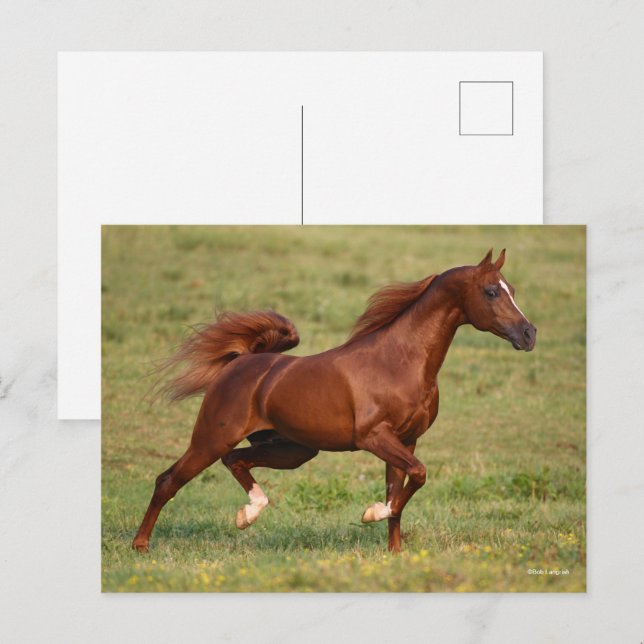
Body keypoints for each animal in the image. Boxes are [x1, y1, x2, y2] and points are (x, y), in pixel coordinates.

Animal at [132, 249, 536, 553]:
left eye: (513, 288)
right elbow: (416, 477)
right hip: (212, 439)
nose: (529, 334)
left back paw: (248, 515)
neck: (399, 361)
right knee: (167, 480)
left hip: (293, 450)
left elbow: (400, 492)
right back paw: (141, 545)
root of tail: (240, 362)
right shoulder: (374, 437)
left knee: (236, 461)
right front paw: (371, 513)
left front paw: (394, 552)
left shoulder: (406, 441)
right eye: (491, 291)